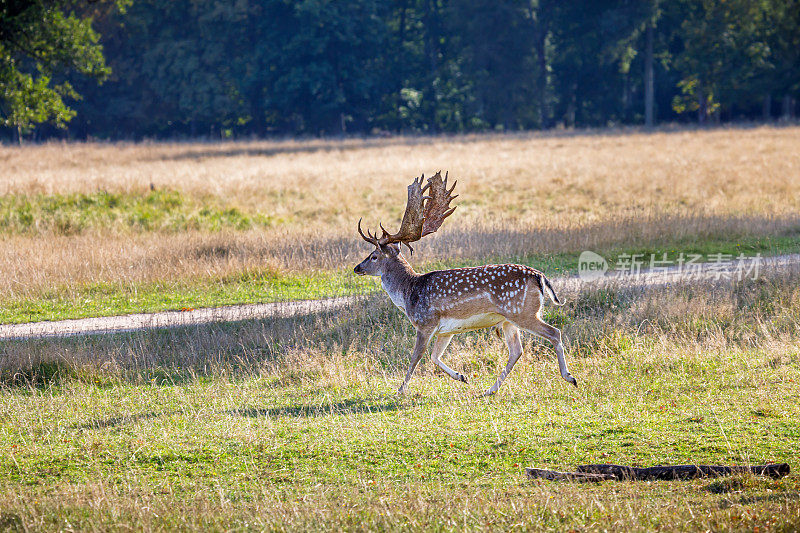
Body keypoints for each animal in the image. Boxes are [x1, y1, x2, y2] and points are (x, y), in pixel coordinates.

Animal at [354, 171, 576, 394]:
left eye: (373, 256)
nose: (357, 268)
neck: (409, 292)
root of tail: (540, 277)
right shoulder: (446, 330)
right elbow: (434, 356)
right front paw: (462, 376)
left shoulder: (426, 322)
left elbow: (416, 357)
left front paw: (401, 390)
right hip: (508, 319)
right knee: (516, 350)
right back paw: (490, 389)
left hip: (522, 312)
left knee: (554, 333)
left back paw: (569, 377)